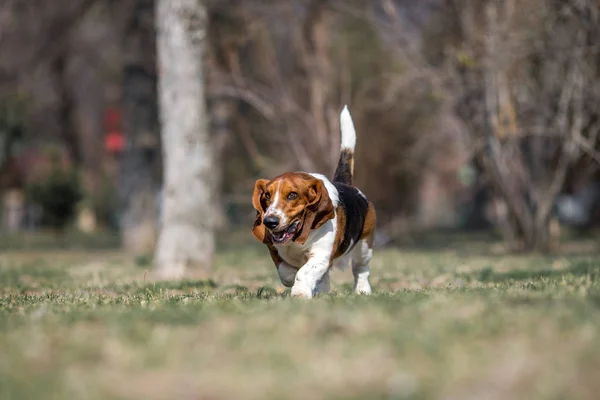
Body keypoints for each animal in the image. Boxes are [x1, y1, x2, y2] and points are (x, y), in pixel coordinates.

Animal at [250, 106, 376, 296]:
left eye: (292, 195)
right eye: (267, 195)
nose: (269, 222)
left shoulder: (321, 255)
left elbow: (304, 272)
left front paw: (300, 293)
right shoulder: (274, 251)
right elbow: (286, 272)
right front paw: (295, 279)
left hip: (364, 246)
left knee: (360, 269)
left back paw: (362, 290)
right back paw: (321, 291)